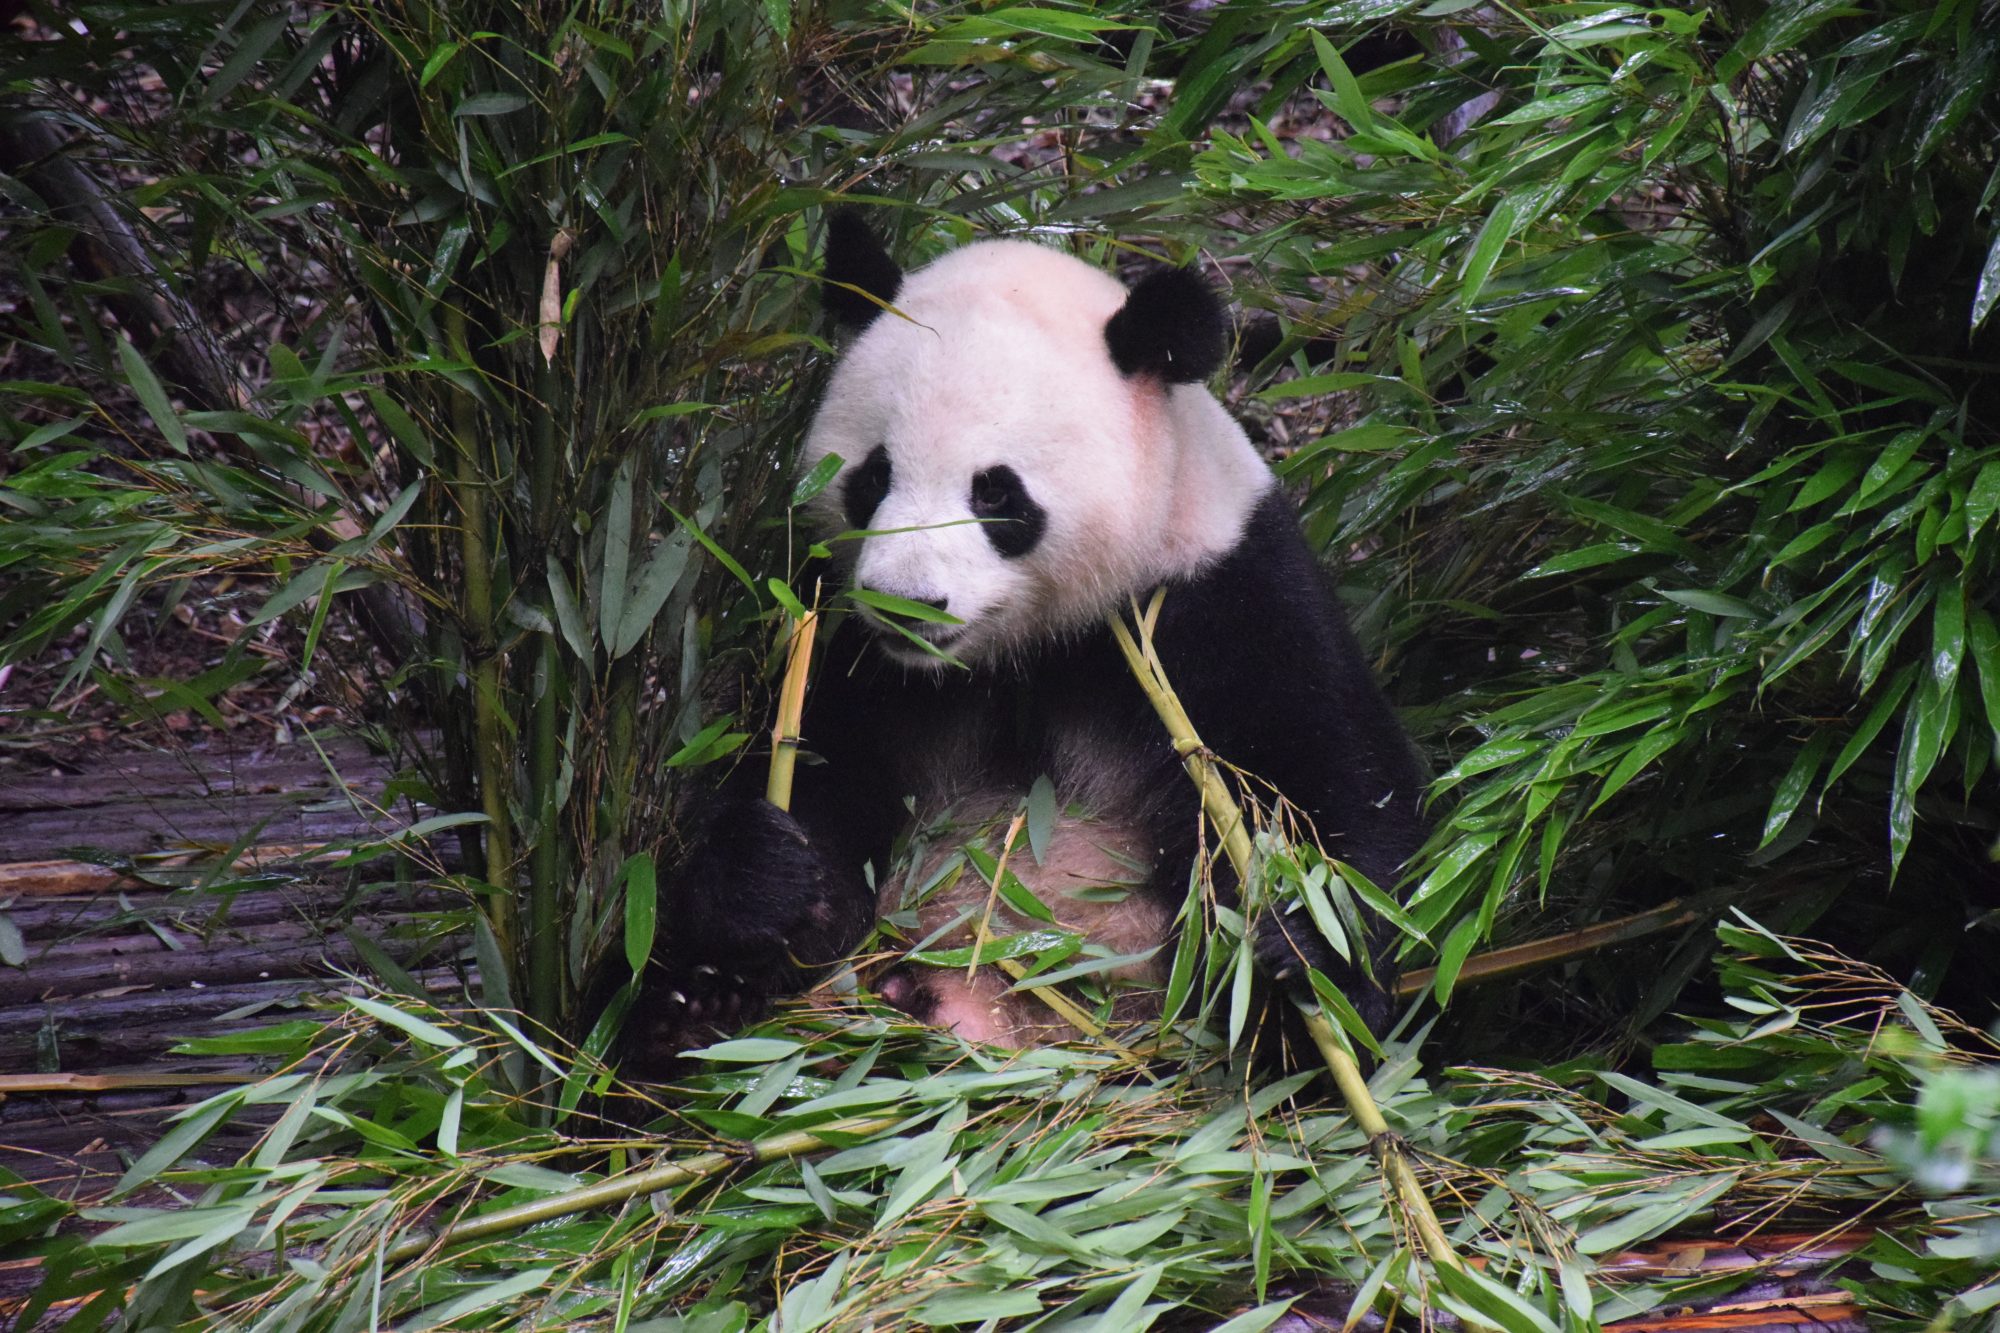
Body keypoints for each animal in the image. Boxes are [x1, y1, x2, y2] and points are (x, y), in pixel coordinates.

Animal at [629, 212, 1428, 1062]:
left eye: (996, 493)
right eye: (872, 477)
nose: (906, 606)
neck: (1019, 652)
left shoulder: (1221, 601)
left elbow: (1331, 785)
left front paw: (1306, 961)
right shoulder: (842, 643)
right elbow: (802, 788)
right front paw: (767, 878)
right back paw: (690, 1012)